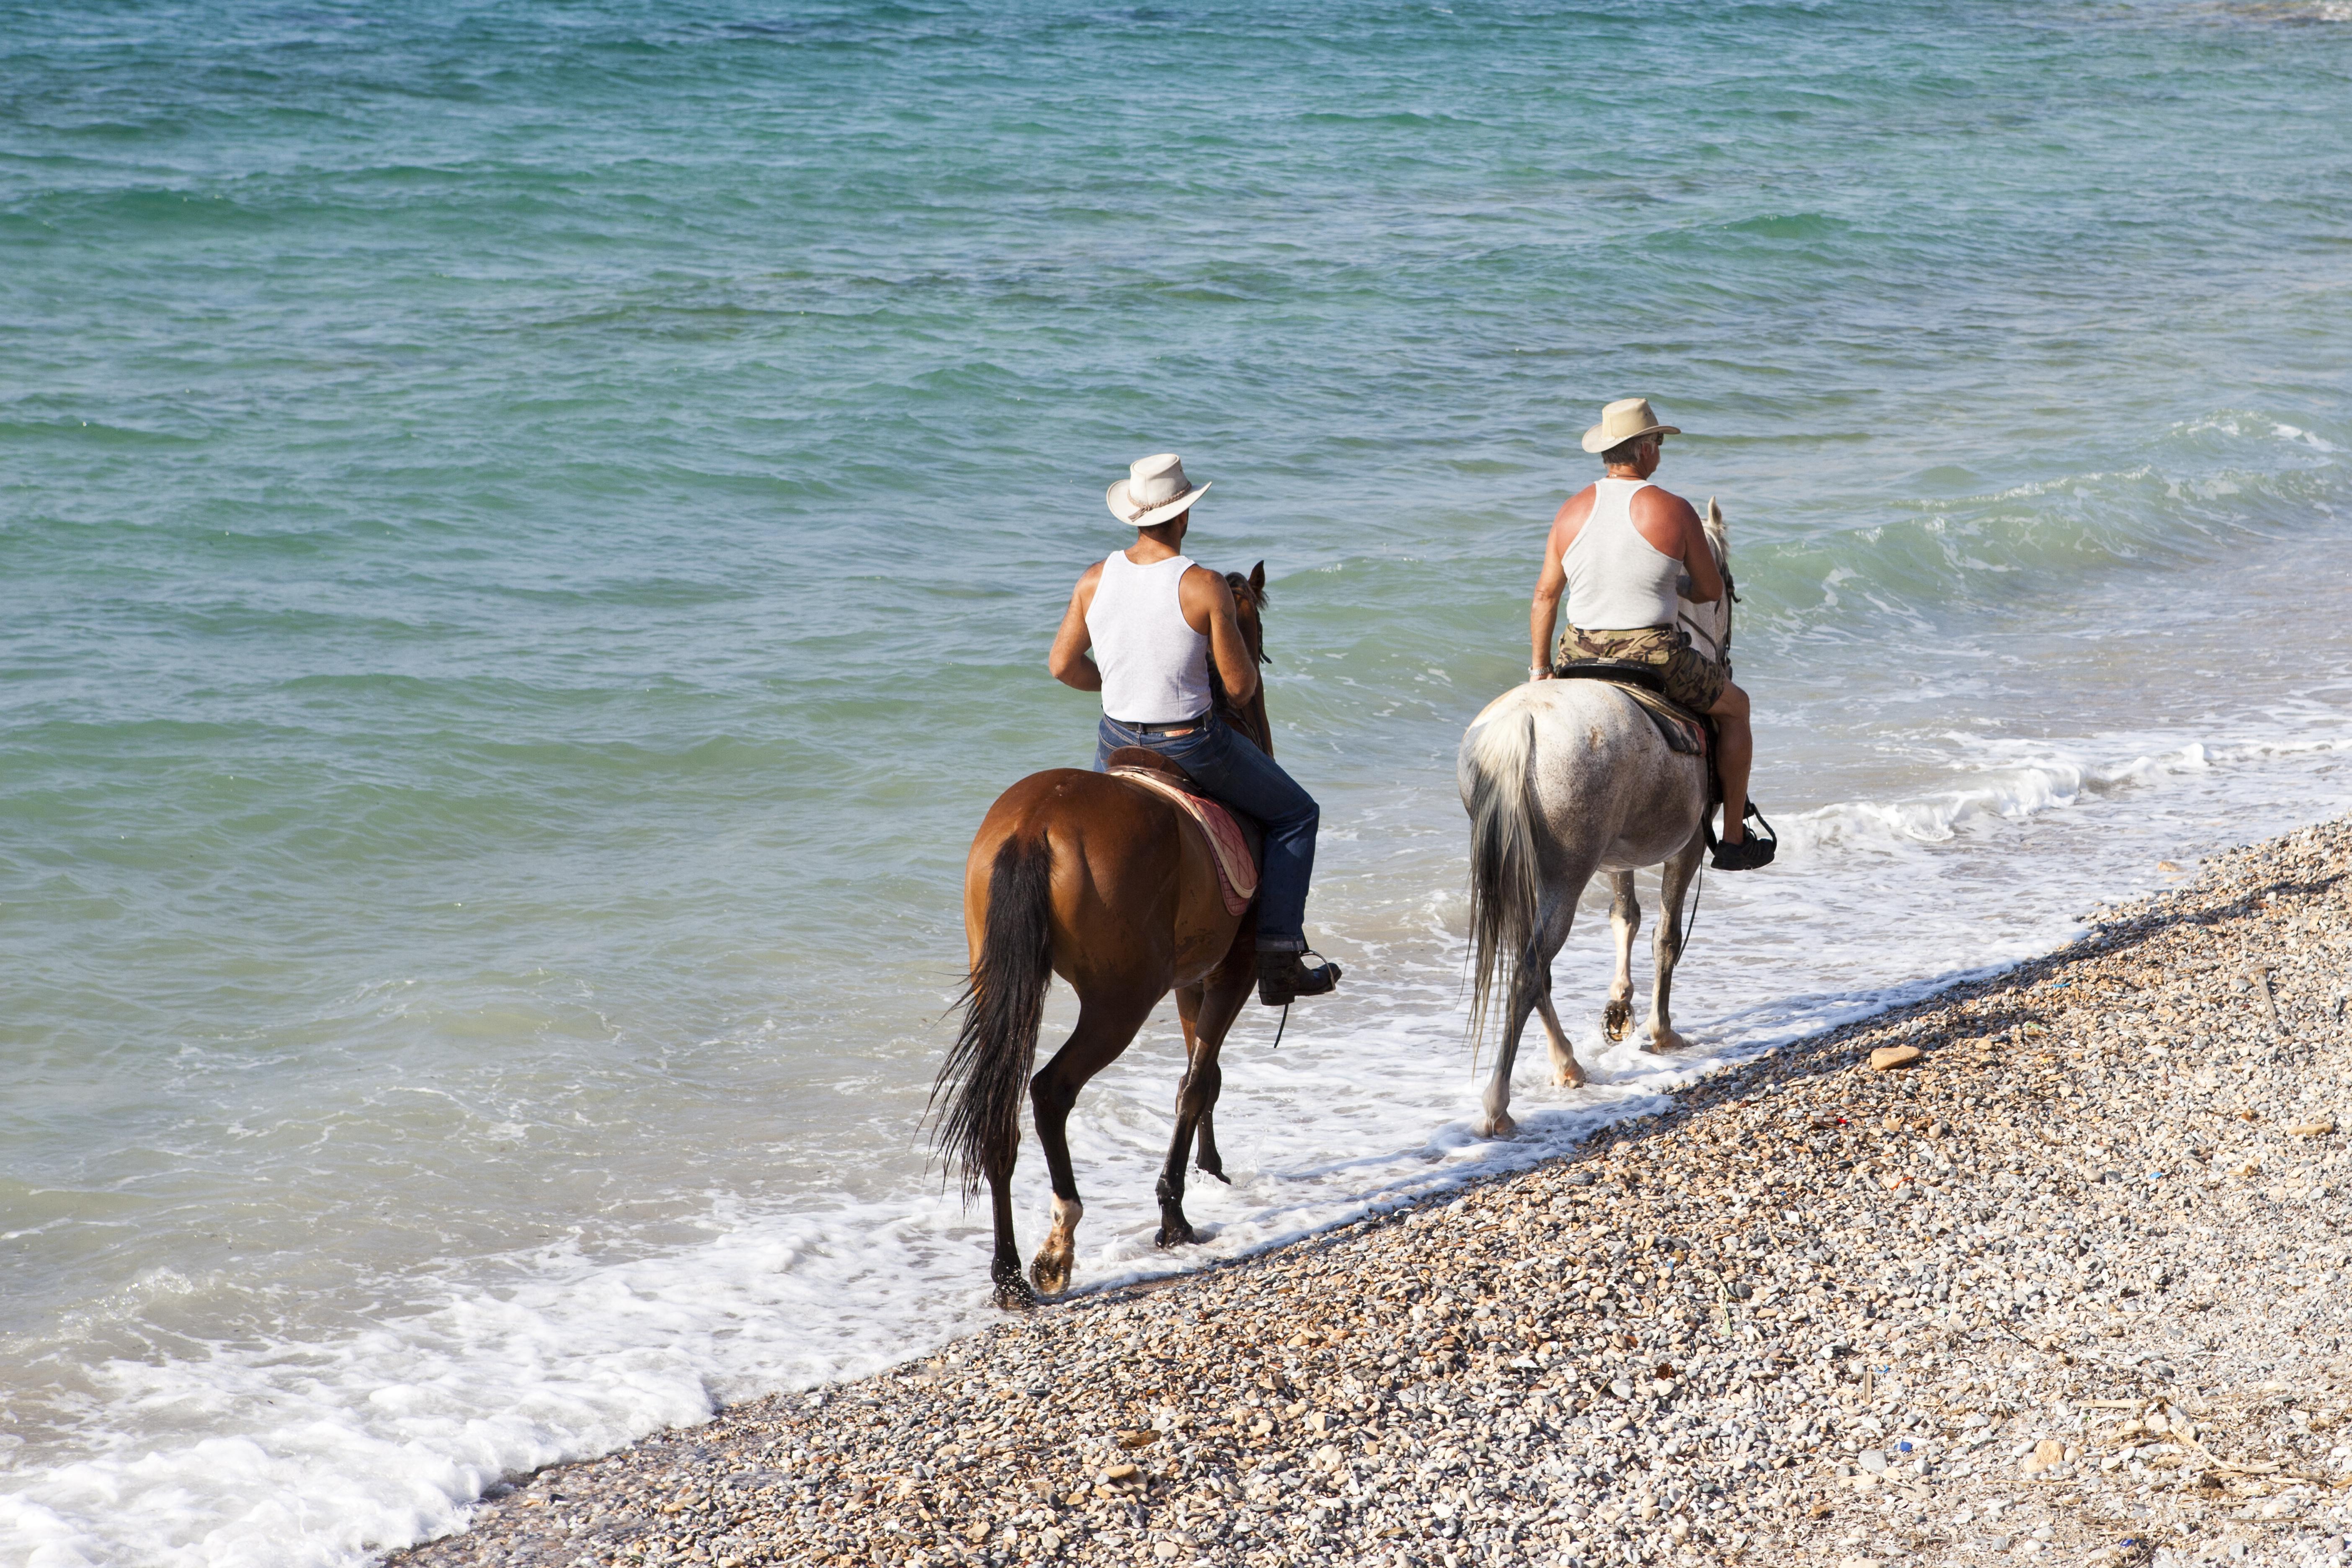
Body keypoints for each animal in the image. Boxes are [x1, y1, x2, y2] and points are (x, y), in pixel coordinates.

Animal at [931, 564, 1270, 1316]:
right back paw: (1058, 1245)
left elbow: (1202, 1073)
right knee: (1050, 1089)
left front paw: (1207, 1169)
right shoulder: (1229, 971)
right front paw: (1174, 1214)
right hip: (1120, 1000)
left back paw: (1008, 1272)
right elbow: (1196, 1081)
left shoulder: (1194, 978)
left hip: (1006, 982)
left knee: (1001, 1108)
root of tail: (1034, 824)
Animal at [1449, 505, 1731, 1142]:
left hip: (1535, 869)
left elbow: (1626, 918)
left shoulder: (1615, 858)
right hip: (1566, 873)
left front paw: (1620, 1008)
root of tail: (1519, 727)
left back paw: (1568, 1065)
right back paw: (1499, 1103)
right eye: (1729, 584)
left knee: (1531, 965)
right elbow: (1664, 937)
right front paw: (1660, 1031)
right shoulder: (1687, 847)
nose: (1725, 650)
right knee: (1531, 967)